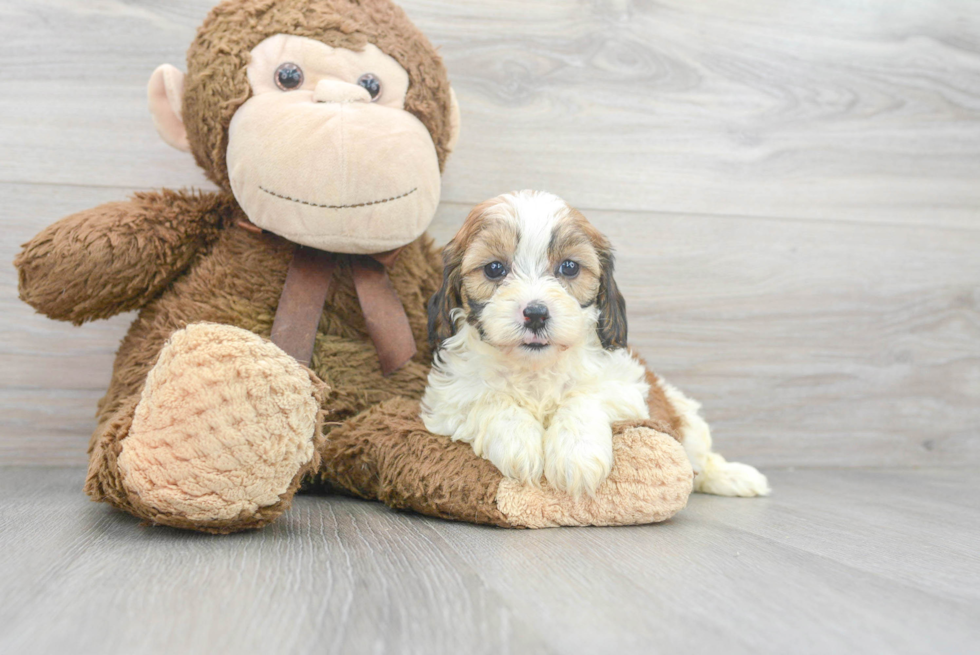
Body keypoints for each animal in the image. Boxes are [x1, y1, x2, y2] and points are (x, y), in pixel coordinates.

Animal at [424, 192, 772, 500]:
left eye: (569, 267)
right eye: (494, 268)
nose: (535, 314)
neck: (535, 368)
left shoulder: (624, 385)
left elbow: (583, 398)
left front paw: (576, 456)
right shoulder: (449, 399)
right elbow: (491, 400)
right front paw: (519, 443)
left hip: (685, 416)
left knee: (701, 461)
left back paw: (735, 477)